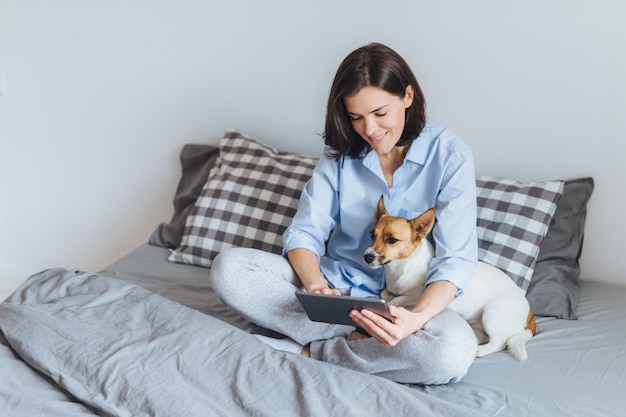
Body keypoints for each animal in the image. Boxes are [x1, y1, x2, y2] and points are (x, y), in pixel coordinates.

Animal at [364, 197, 532, 360]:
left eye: (391, 240)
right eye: (372, 235)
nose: (367, 257)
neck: (401, 267)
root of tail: (529, 313)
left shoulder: (417, 296)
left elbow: (398, 299)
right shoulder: (389, 289)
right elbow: (385, 293)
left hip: (492, 315)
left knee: (500, 343)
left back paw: (482, 350)